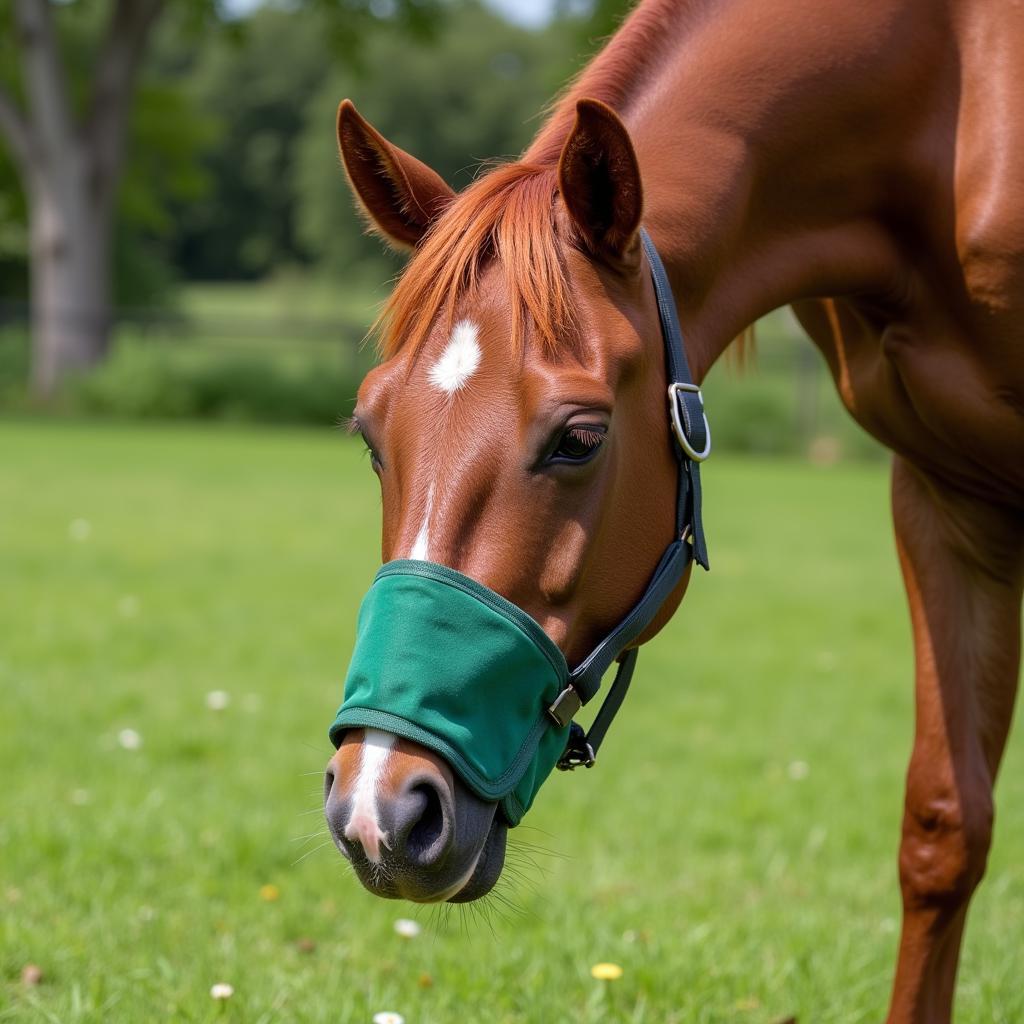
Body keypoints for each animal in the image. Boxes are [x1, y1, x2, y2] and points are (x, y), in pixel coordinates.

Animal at [321, 4, 1024, 1019]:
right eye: (373, 436)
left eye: (578, 439)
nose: (380, 809)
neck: (953, 102)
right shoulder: (944, 495)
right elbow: (944, 827)